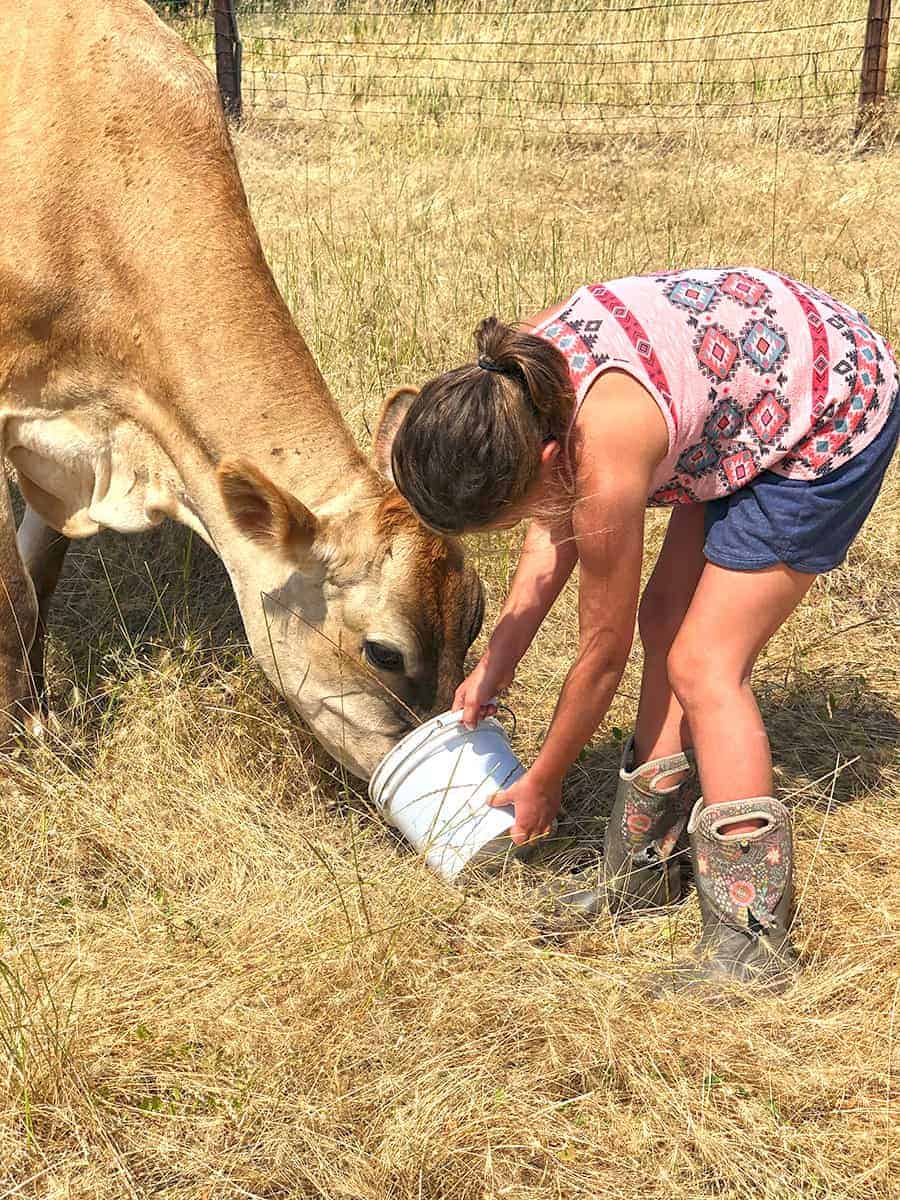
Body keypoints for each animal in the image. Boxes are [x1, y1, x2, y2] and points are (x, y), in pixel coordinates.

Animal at [0, 0, 487, 777]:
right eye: (384, 652)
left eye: (475, 619)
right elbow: (13, 596)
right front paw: (22, 743)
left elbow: (39, 574)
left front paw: (39, 716)